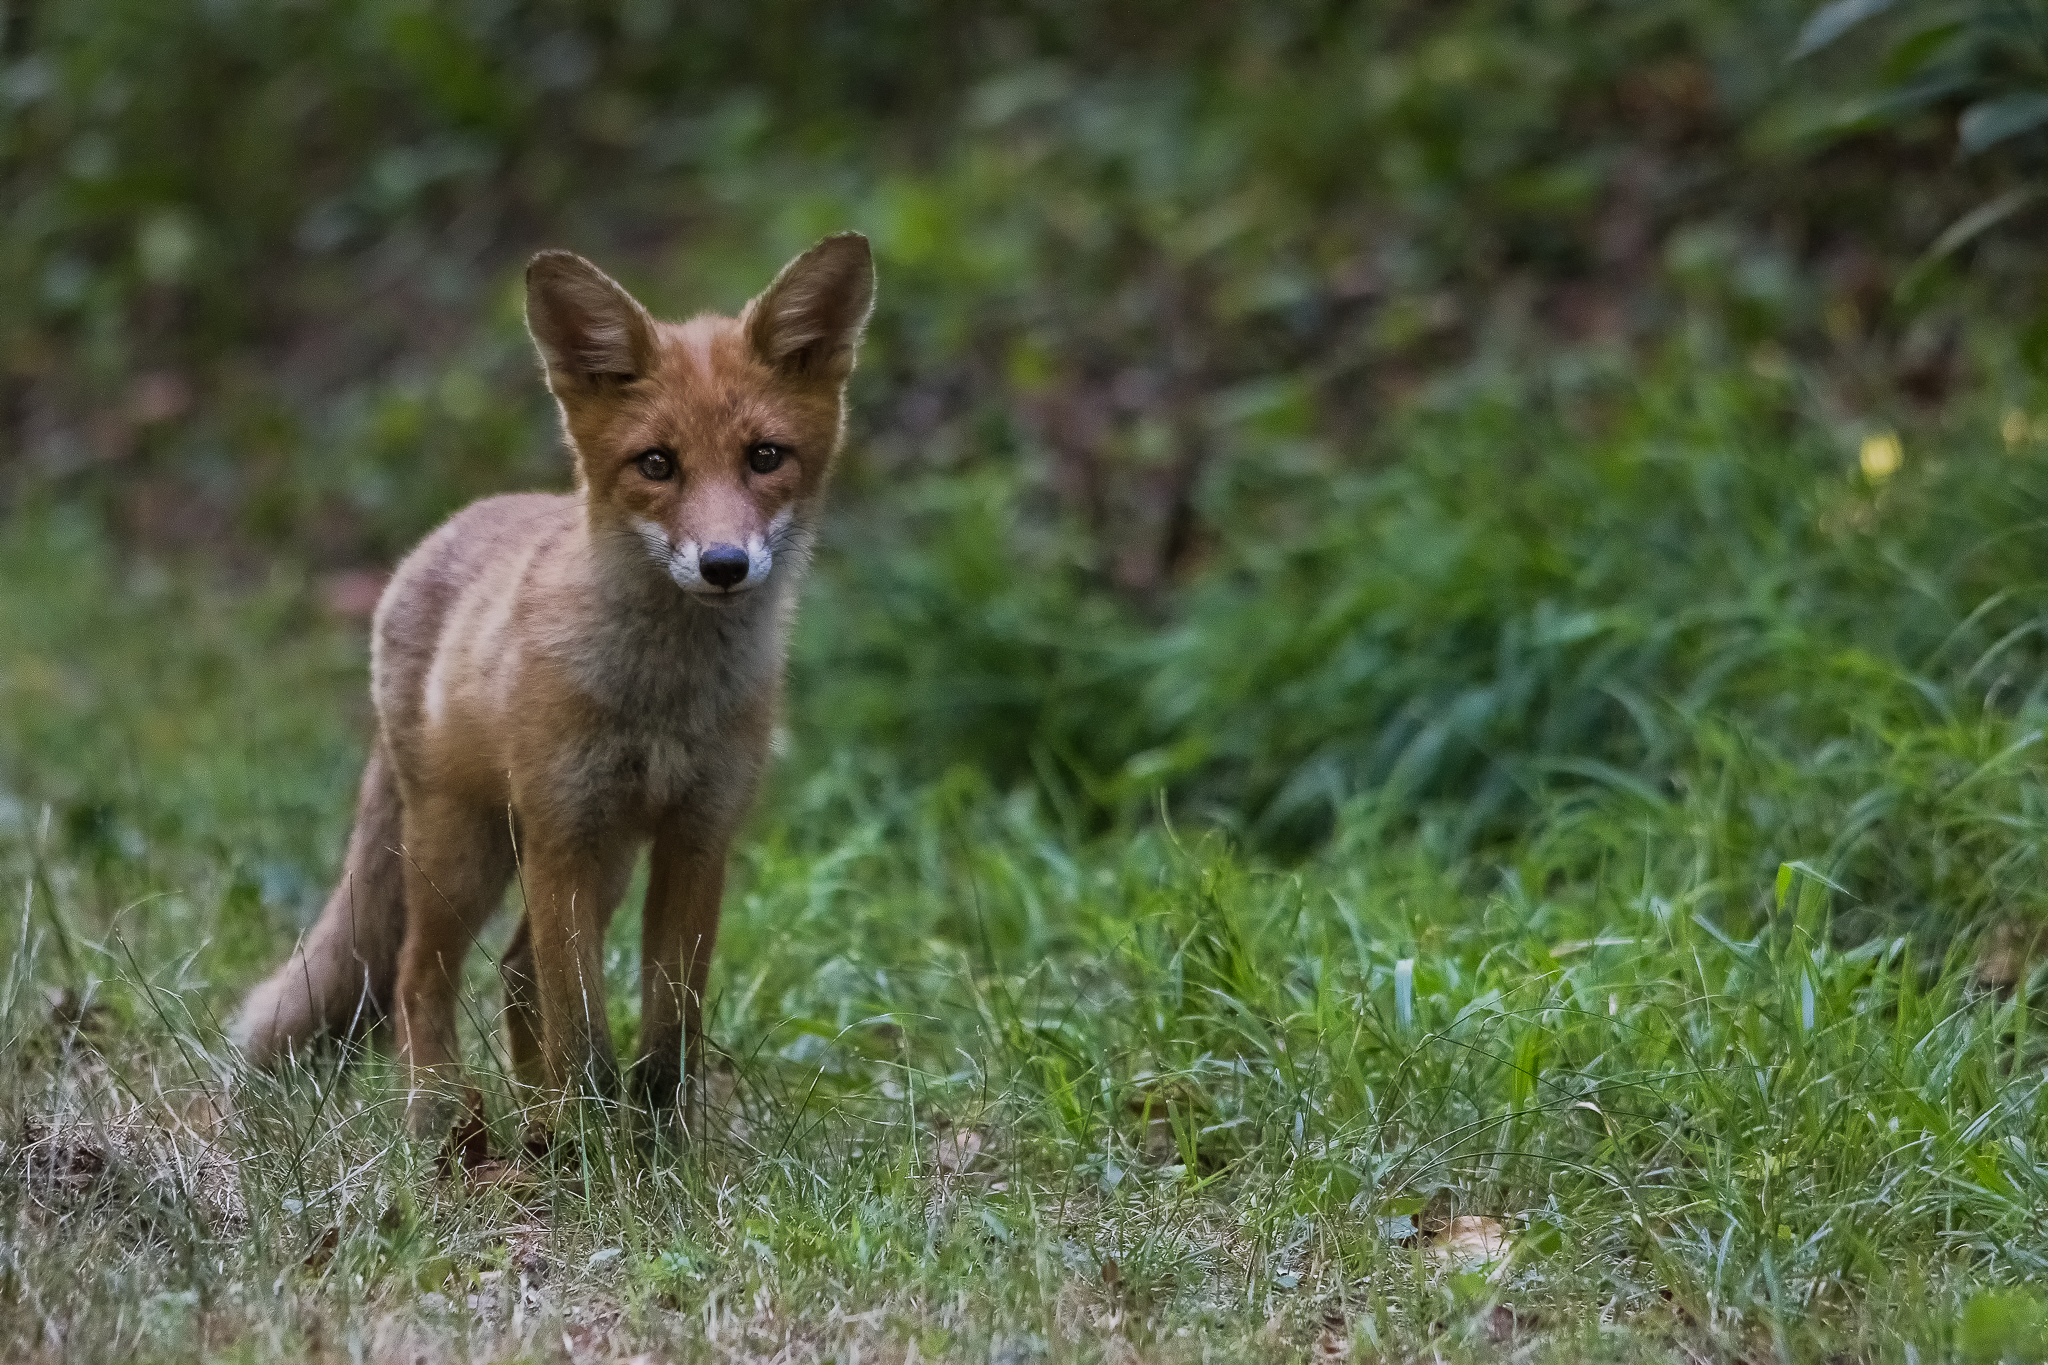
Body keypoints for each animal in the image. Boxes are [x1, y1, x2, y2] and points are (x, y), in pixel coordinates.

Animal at [231, 233, 875, 1138]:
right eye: (656, 464)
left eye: (765, 457)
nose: (723, 563)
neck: (662, 699)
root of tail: (439, 538)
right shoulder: (564, 832)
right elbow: (585, 1030)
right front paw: (596, 1147)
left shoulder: (697, 835)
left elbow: (670, 1030)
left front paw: (658, 1144)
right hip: (467, 848)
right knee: (417, 976)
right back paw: (445, 1116)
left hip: (594, 857)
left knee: (515, 971)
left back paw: (537, 1117)